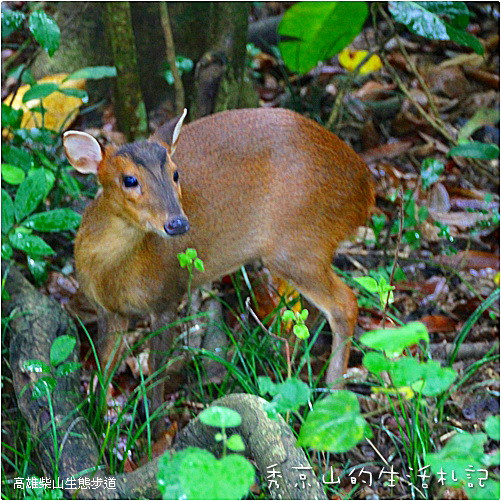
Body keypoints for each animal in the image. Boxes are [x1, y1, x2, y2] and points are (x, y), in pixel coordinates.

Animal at [62, 108, 374, 422]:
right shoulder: (107, 310)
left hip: (299, 244)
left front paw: (156, 423)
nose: (177, 223)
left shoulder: (167, 295)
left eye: (175, 173)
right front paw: (96, 418)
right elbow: (104, 366)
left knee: (345, 302)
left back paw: (333, 391)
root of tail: (366, 191)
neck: (113, 275)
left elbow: (157, 370)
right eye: (129, 180)